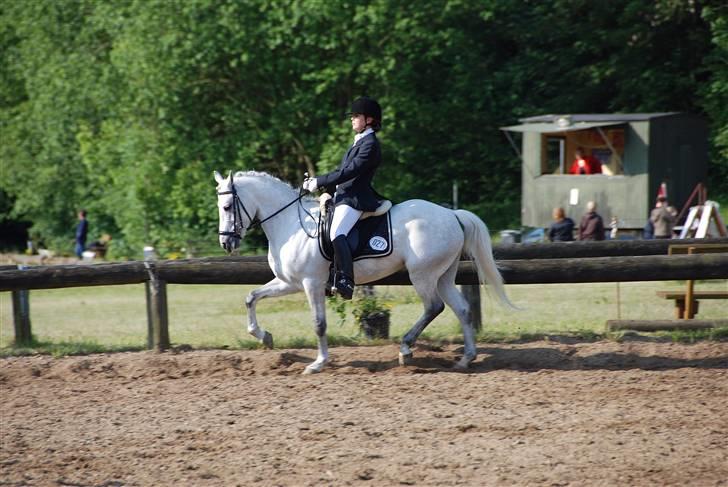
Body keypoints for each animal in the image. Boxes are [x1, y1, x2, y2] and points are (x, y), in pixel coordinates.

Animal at [214, 170, 515, 374]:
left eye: (227, 207)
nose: (227, 243)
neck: (291, 223)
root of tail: (452, 214)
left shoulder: (311, 283)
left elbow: (319, 324)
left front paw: (319, 363)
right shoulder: (290, 283)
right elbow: (251, 297)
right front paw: (263, 336)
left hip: (423, 275)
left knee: (434, 307)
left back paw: (406, 349)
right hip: (443, 275)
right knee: (461, 309)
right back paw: (465, 359)